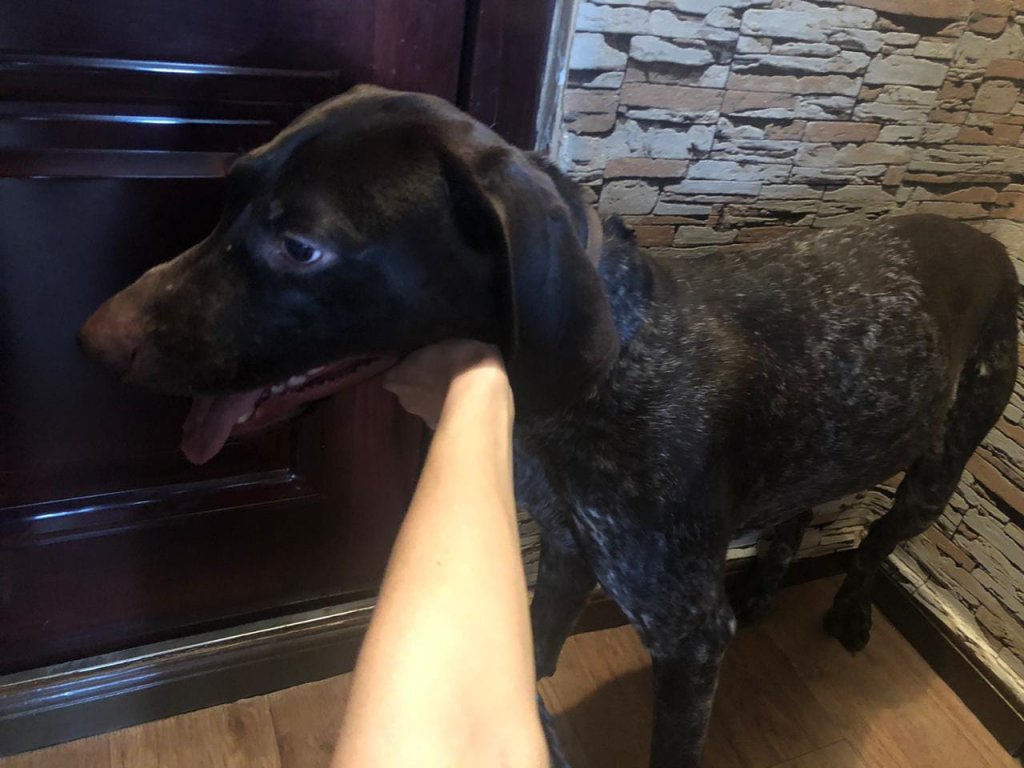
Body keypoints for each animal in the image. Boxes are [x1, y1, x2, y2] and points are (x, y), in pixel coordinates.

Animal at [78, 85, 1019, 767]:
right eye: (230, 192)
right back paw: (765, 585)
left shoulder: (687, 640)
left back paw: (854, 608)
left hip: (940, 468)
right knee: (799, 510)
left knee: (875, 543)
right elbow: (527, 658)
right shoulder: (564, 555)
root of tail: (989, 239)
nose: (92, 340)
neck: (609, 369)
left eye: (301, 246)